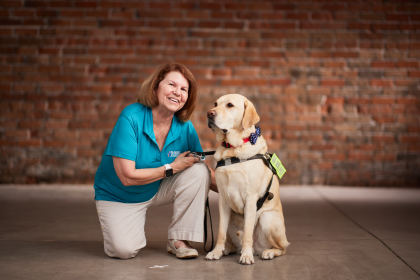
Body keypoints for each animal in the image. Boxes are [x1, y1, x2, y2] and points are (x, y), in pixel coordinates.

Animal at [206, 93, 288, 264]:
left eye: (230, 105)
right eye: (215, 104)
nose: (209, 113)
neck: (232, 149)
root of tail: (258, 249)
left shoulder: (251, 199)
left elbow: (248, 232)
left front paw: (246, 255)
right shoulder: (223, 200)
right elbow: (221, 232)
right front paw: (216, 251)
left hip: (267, 219)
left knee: (282, 247)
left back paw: (267, 252)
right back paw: (227, 249)